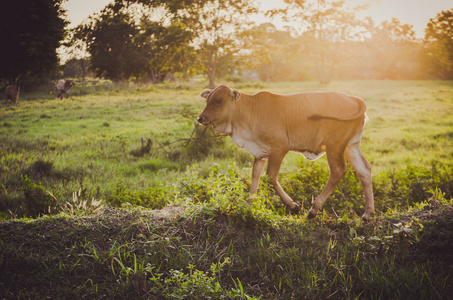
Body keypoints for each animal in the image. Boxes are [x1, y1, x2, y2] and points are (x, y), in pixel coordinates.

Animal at [196, 84, 372, 220]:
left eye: (219, 101)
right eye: (208, 100)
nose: (200, 118)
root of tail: (354, 99)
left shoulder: (279, 149)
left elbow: (270, 177)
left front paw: (293, 206)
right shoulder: (260, 154)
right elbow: (255, 176)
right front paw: (248, 206)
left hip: (334, 146)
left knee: (338, 171)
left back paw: (313, 210)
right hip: (350, 146)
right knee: (364, 170)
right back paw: (367, 215)